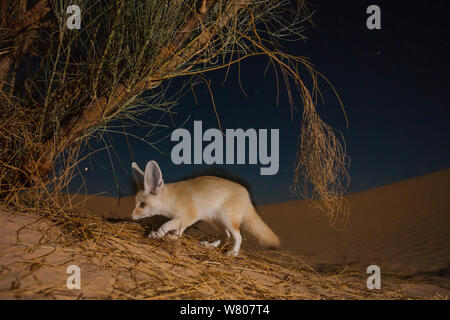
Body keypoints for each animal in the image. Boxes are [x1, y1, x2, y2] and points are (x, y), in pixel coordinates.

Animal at [129, 161, 282, 256]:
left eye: (142, 205)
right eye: (135, 203)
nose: (132, 216)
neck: (171, 197)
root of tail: (248, 196)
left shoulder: (189, 217)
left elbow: (166, 225)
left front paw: (156, 234)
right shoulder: (185, 220)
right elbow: (179, 230)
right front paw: (173, 237)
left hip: (227, 219)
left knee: (238, 236)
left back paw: (233, 253)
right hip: (215, 221)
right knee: (226, 235)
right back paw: (210, 246)